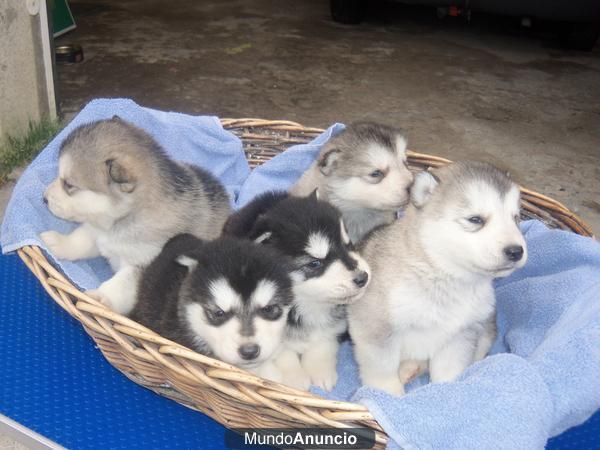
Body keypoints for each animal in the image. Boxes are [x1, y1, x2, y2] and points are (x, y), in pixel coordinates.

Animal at [38, 118, 230, 314]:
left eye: (68, 184)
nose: (44, 198)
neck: (120, 221)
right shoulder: (96, 231)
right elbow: (80, 240)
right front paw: (59, 243)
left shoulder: (142, 265)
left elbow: (121, 284)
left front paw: (100, 298)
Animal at [225, 190, 370, 390]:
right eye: (315, 263)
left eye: (348, 245)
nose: (363, 278)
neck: (306, 304)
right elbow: (284, 354)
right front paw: (294, 380)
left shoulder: (334, 326)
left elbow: (323, 341)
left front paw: (320, 371)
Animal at [350, 161, 528, 394]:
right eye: (475, 219)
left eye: (516, 218)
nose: (516, 251)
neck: (444, 276)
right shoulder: (377, 327)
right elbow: (383, 371)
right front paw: (388, 394)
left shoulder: (458, 336)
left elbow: (448, 370)